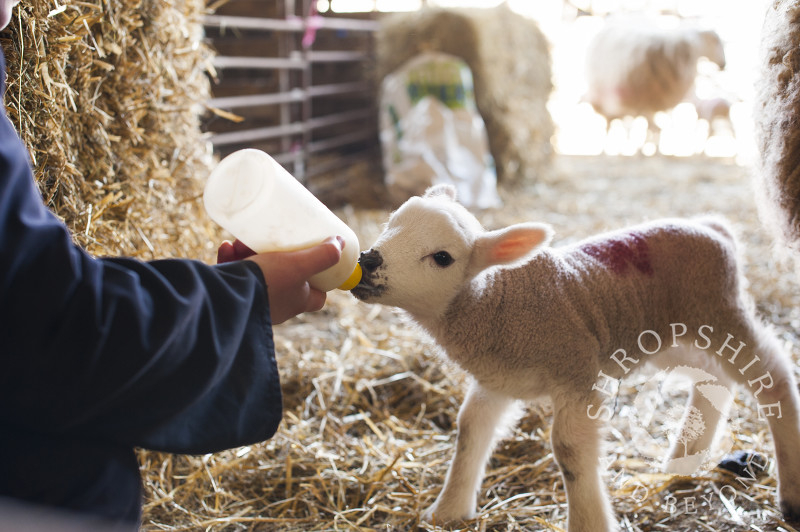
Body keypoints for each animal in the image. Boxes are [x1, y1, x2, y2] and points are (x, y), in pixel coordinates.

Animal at [352, 184, 800, 532]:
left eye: (442, 257)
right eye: (390, 223)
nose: (368, 260)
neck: (496, 301)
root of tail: (712, 227)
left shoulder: (576, 372)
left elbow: (567, 450)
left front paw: (588, 522)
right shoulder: (496, 382)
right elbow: (469, 431)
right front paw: (448, 510)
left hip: (720, 313)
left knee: (774, 375)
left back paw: (791, 492)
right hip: (677, 334)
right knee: (714, 380)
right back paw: (683, 458)